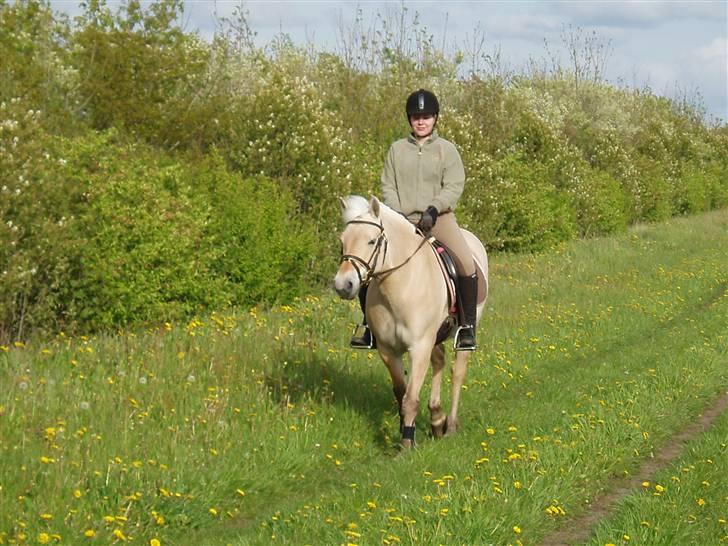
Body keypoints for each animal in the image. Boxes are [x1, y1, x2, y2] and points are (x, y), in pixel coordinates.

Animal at [336, 194, 490, 446]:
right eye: (343, 241)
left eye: (371, 241)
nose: (343, 285)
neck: (400, 286)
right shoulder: (388, 350)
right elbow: (401, 392)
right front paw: (406, 429)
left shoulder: (418, 348)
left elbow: (410, 398)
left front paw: (407, 443)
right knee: (439, 361)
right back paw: (437, 418)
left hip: (463, 330)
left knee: (458, 372)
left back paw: (450, 425)